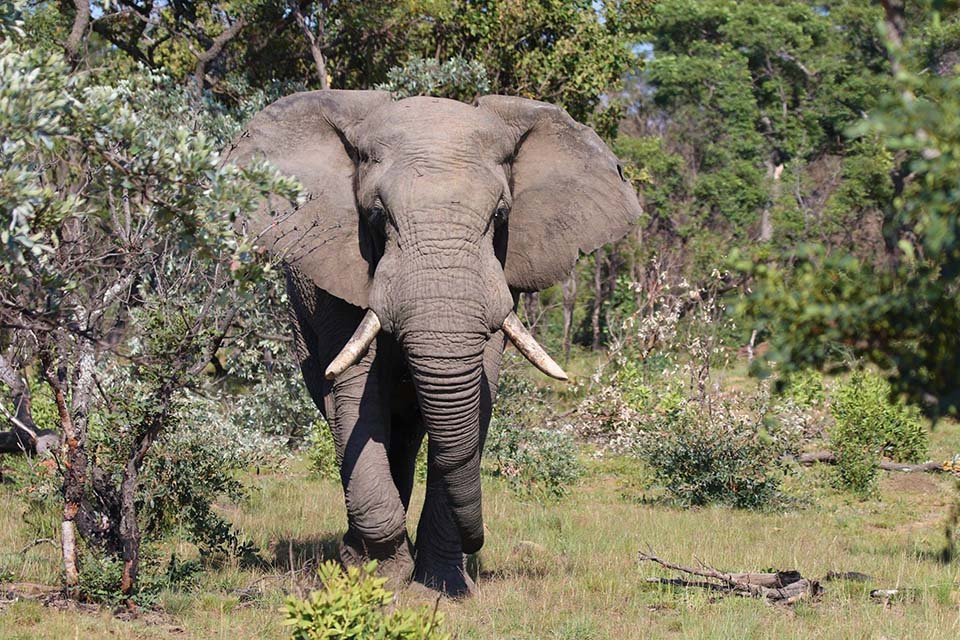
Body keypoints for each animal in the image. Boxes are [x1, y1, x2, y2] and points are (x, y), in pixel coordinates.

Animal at [231, 90, 644, 596]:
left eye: (500, 217)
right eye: (377, 216)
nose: (478, 542)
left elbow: (479, 391)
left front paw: (441, 586)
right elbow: (354, 388)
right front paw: (379, 575)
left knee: (407, 434)